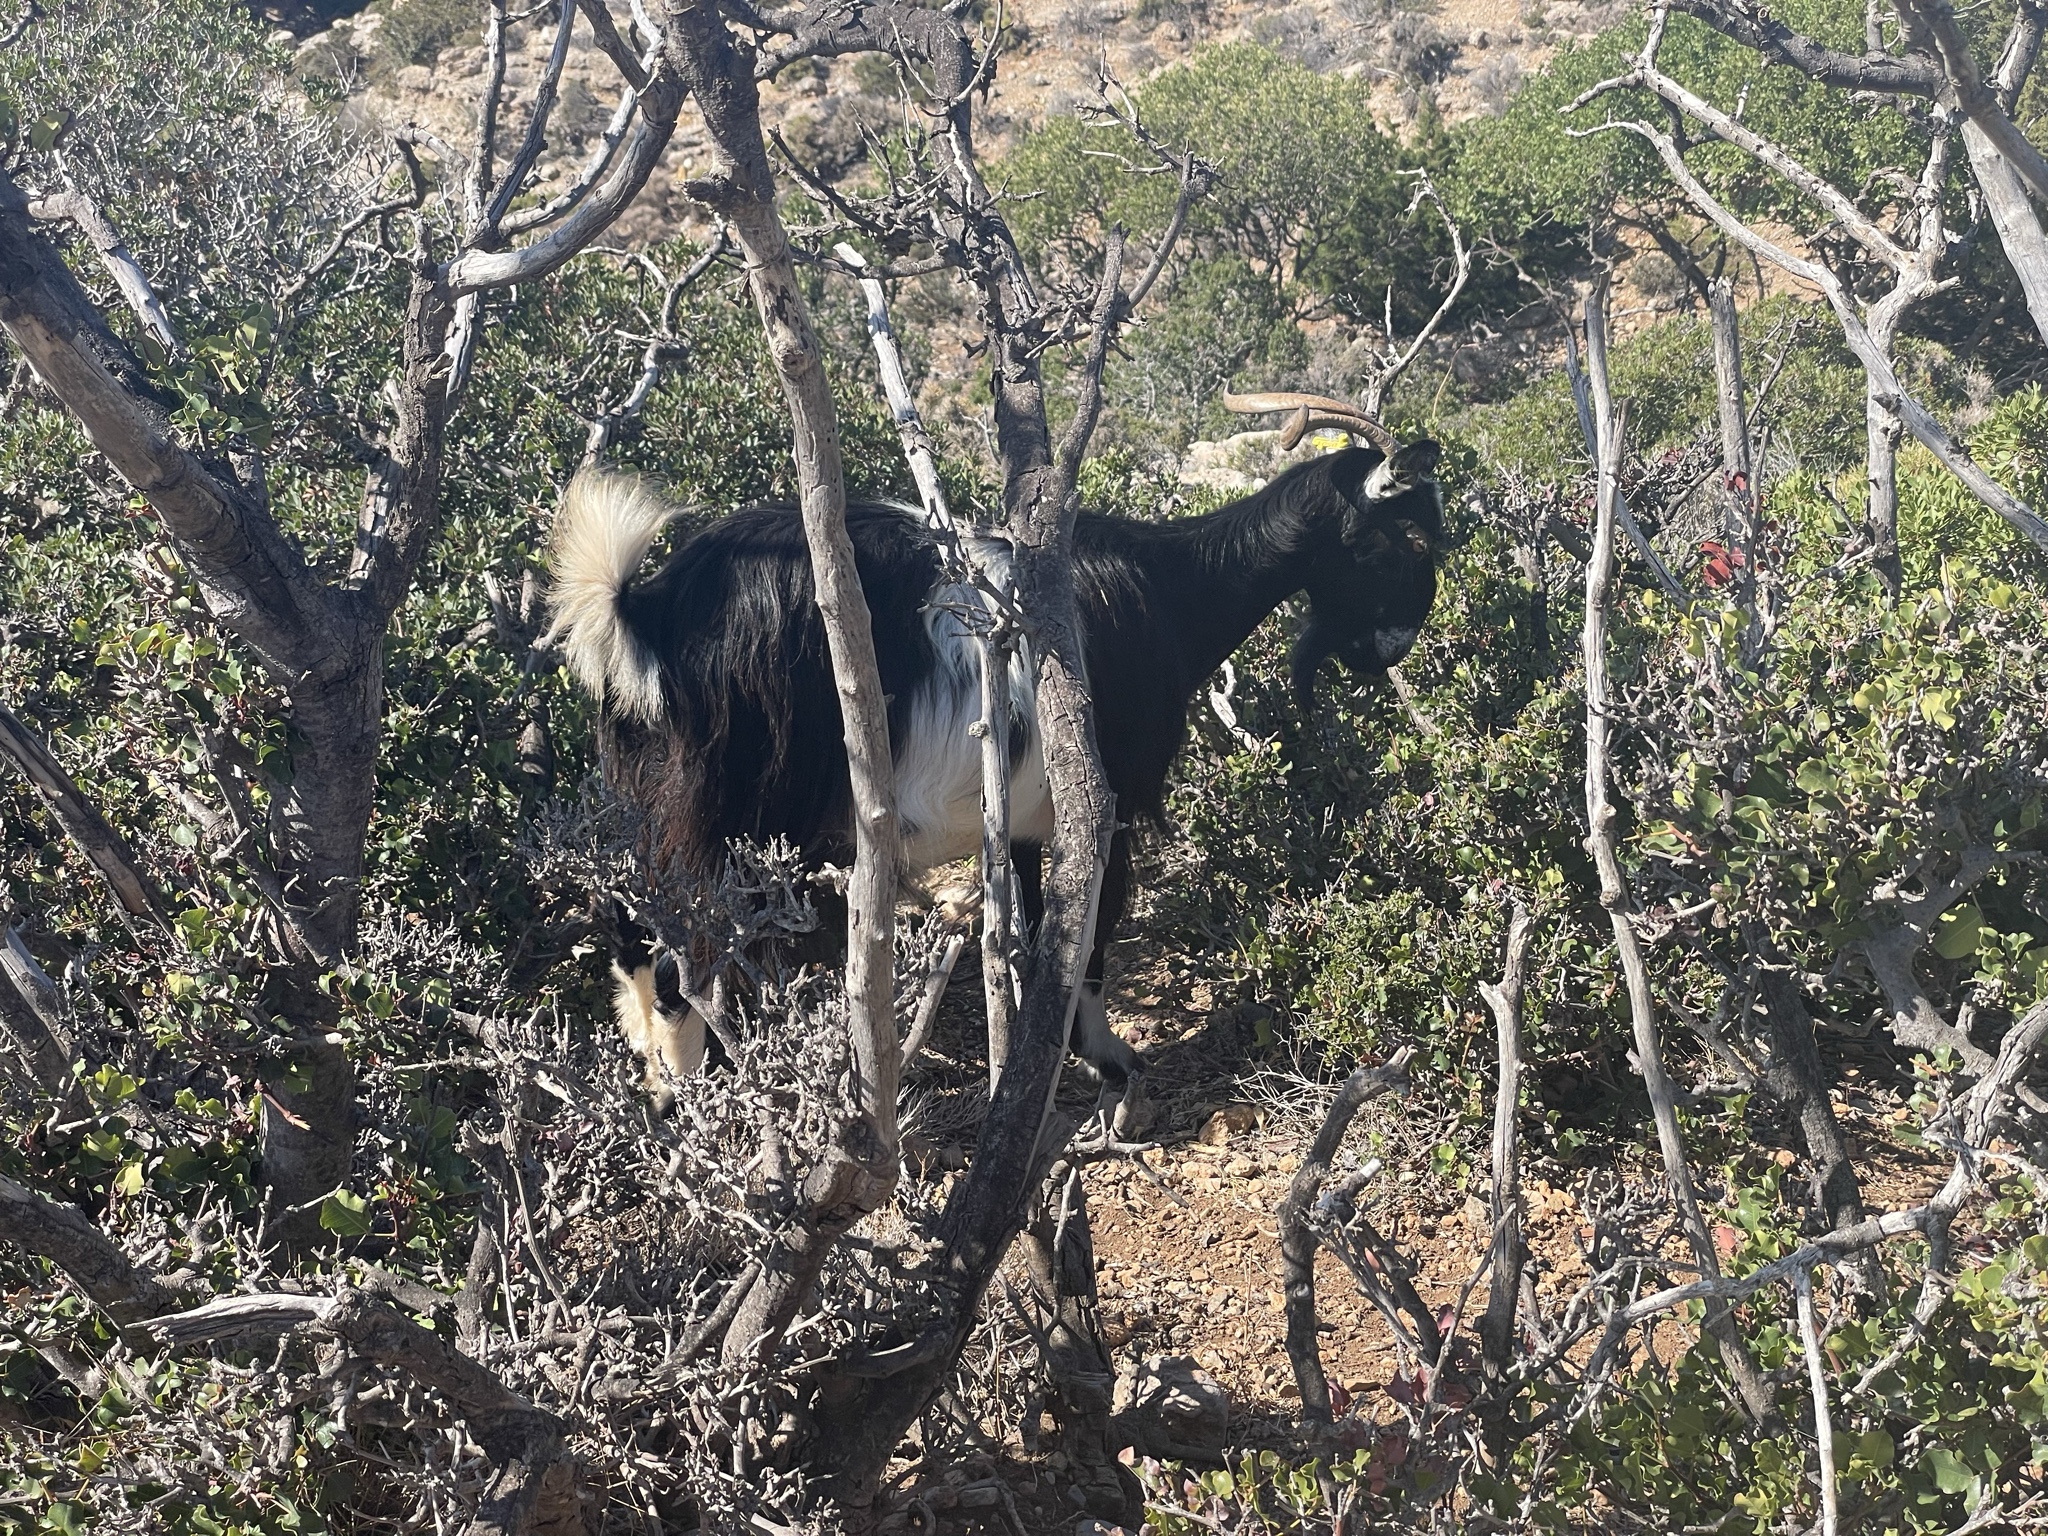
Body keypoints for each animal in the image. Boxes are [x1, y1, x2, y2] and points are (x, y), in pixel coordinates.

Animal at [549, 392, 1445, 1101]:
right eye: (1412, 539)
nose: (1397, 646)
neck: (1170, 592)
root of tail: (647, 612)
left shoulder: (1021, 815)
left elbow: (1036, 925)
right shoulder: (1106, 802)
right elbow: (1089, 931)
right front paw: (1110, 1059)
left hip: (648, 800)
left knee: (634, 929)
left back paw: (658, 1079)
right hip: (737, 808)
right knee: (690, 950)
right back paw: (695, 1089)